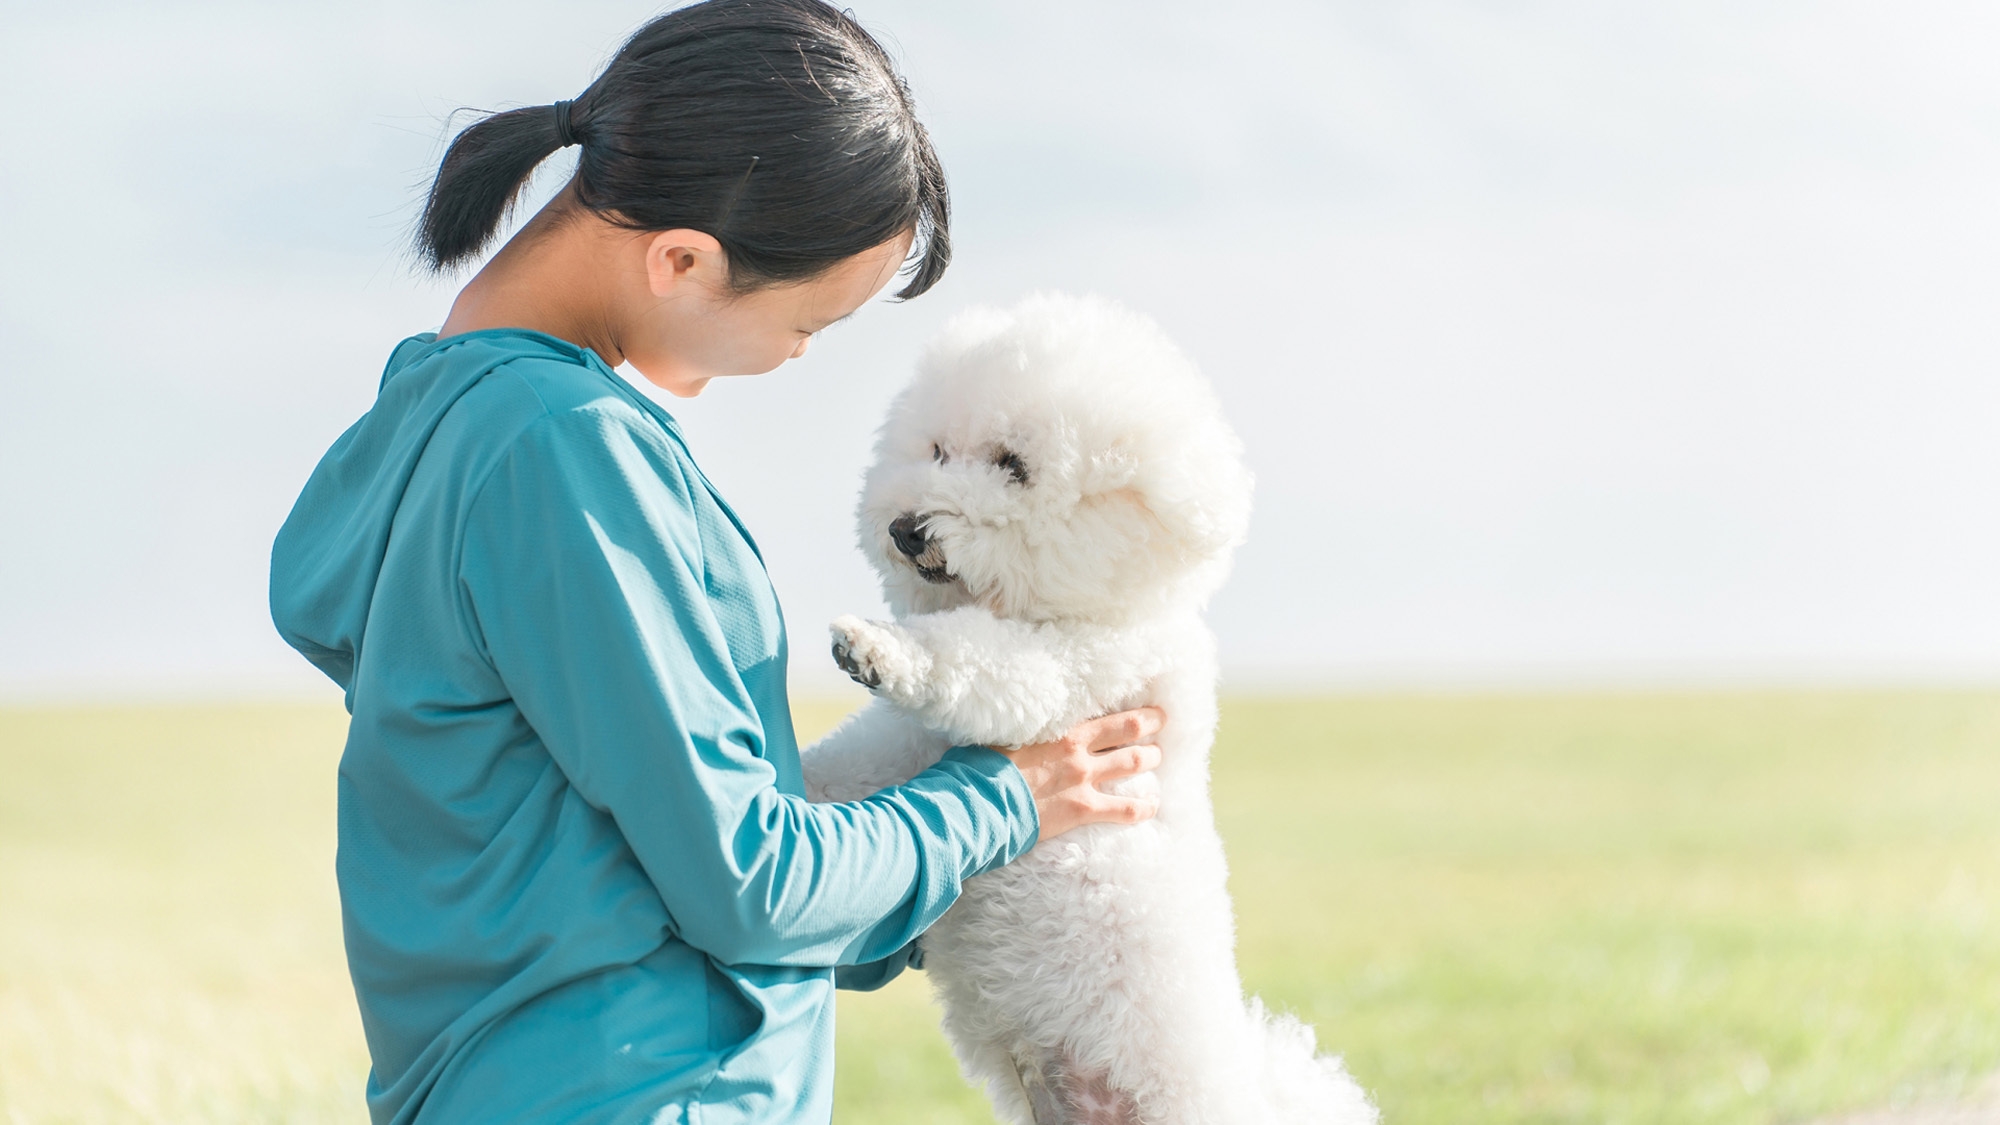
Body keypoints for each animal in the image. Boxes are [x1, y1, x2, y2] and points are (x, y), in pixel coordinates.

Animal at [796, 294, 1376, 1112]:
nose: (906, 530)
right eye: (937, 452)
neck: (1067, 607)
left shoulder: (1078, 671)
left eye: (1012, 466)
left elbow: (977, 658)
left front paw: (878, 647)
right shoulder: (906, 746)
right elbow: (849, 767)